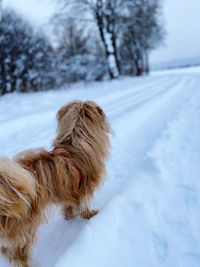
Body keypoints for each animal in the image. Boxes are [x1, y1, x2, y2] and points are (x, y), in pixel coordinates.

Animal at [0, 101, 111, 267]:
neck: (74, 144)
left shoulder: (67, 191)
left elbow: (68, 206)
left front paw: (69, 216)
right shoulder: (86, 188)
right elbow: (84, 205)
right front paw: (90, 215)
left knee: (7, 252)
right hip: (25, 229)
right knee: (18, 255)